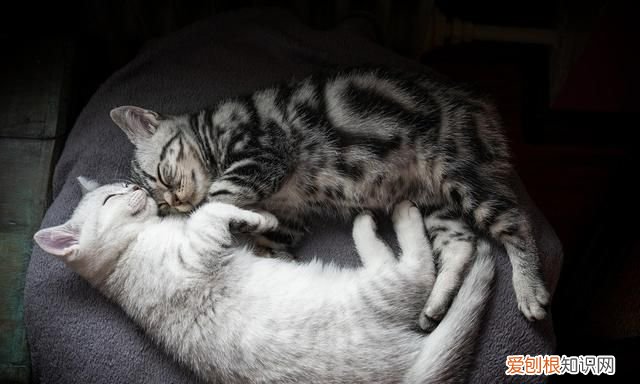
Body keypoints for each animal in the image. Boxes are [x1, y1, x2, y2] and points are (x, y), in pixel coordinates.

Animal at [33, 178, 496, 384]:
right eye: (113, 197)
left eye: (122, 184)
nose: (137, 187)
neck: (125, 256)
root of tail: (409, 374)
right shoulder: (196, 250)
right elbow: (208, 211)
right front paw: (261, 218)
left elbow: (218, 211)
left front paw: (257, 220)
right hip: (381, 288)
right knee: (416, 267)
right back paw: (391, 214)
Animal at [111, 65, 552, 324]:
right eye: (161, 204)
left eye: (163, 176)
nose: (174, 203)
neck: (211, 132)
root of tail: (483, 103)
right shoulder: (287, 220)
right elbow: (266, 243)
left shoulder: (264, 153)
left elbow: (216, 196)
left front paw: (205, 217)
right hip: (436, 200)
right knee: (462, 245)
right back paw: (434, 305)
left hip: (459, 172)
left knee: (515, 222)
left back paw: (530, 289)